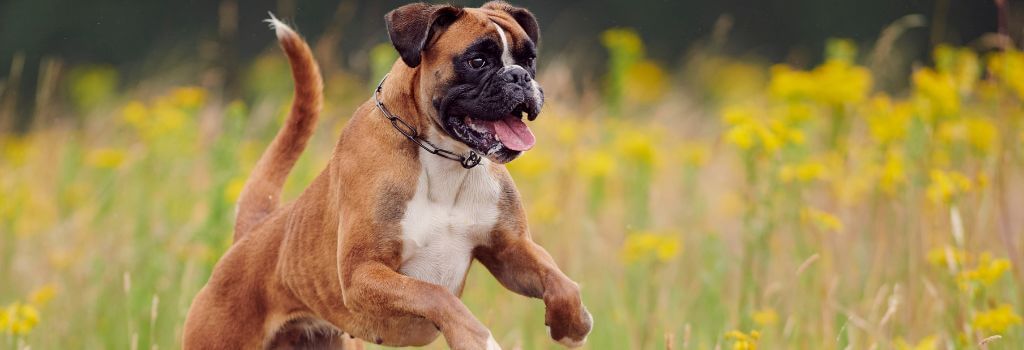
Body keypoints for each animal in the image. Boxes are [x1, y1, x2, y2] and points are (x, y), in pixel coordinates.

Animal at [184, 2, 593, 350]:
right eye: (477, 60)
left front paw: (572, 324)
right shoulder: (363, 274)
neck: (446, 157)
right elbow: (435, 294)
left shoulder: (508, 251)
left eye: (529, 59)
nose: (519, 76)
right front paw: (477, 339)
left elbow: (560, 281)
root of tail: (252, 234)